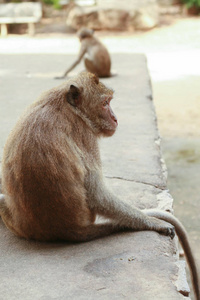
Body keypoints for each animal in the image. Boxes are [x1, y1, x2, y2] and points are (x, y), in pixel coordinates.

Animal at [0, 73, 199, 300]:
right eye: (105, 103)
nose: (115, 118)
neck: (68, 106)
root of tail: (71, 231)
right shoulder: (85, 134)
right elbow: (97, 194)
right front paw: (152, 222)